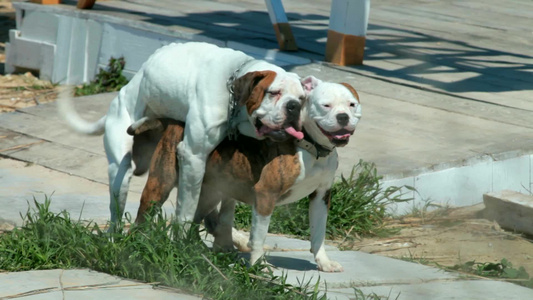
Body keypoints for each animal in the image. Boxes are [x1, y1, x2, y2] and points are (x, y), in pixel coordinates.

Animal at [57, 41, 306, 230]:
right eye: (273, 92)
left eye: (302, 98)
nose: (294, 106)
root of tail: (119, 97)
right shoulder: (193, 157)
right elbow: (187, 210)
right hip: (121, 170)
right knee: (116, 209)